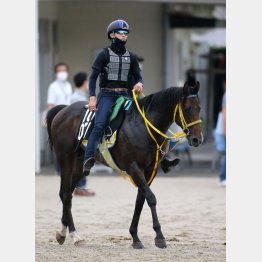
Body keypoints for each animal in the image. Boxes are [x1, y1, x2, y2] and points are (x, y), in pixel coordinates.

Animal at [46, 81, 203, 248]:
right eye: (187, 109)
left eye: (199, 108)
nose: (197, 139)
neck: (143, 126)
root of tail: (63, 110)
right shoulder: (134, 168)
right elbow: (151, 198)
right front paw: (159, 236)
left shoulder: (149, 171)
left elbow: (140, 200)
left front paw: (135, 236)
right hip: (66, 160)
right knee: (65, 194)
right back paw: (74, 234)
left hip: (80, 167)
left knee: (67, 194)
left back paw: (64, 233)